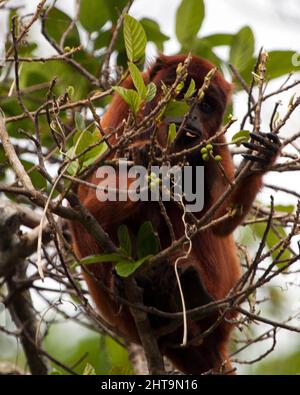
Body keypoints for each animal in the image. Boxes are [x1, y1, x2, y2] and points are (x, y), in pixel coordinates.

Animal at [69, 54, 280, 376]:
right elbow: (85, 201)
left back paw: (189, 290)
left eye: (205, 105)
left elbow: (220, 222)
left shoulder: (215, 139)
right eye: (180, 94)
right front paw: (144, 164)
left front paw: (260, 160)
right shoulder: (124, 107)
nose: (190, 116)